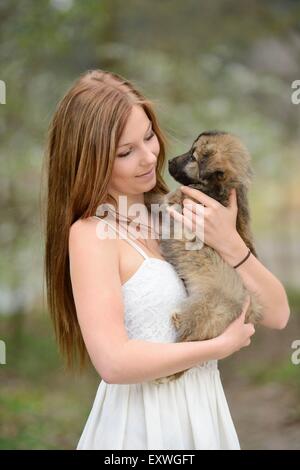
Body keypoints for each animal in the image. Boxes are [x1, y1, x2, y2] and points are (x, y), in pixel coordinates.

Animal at [144, 130, 264, 384]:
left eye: (193, 156)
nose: (169, 161)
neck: (223, 186)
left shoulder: (178, 199)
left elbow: (162, 198)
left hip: (203, 314)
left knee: (185, 350)